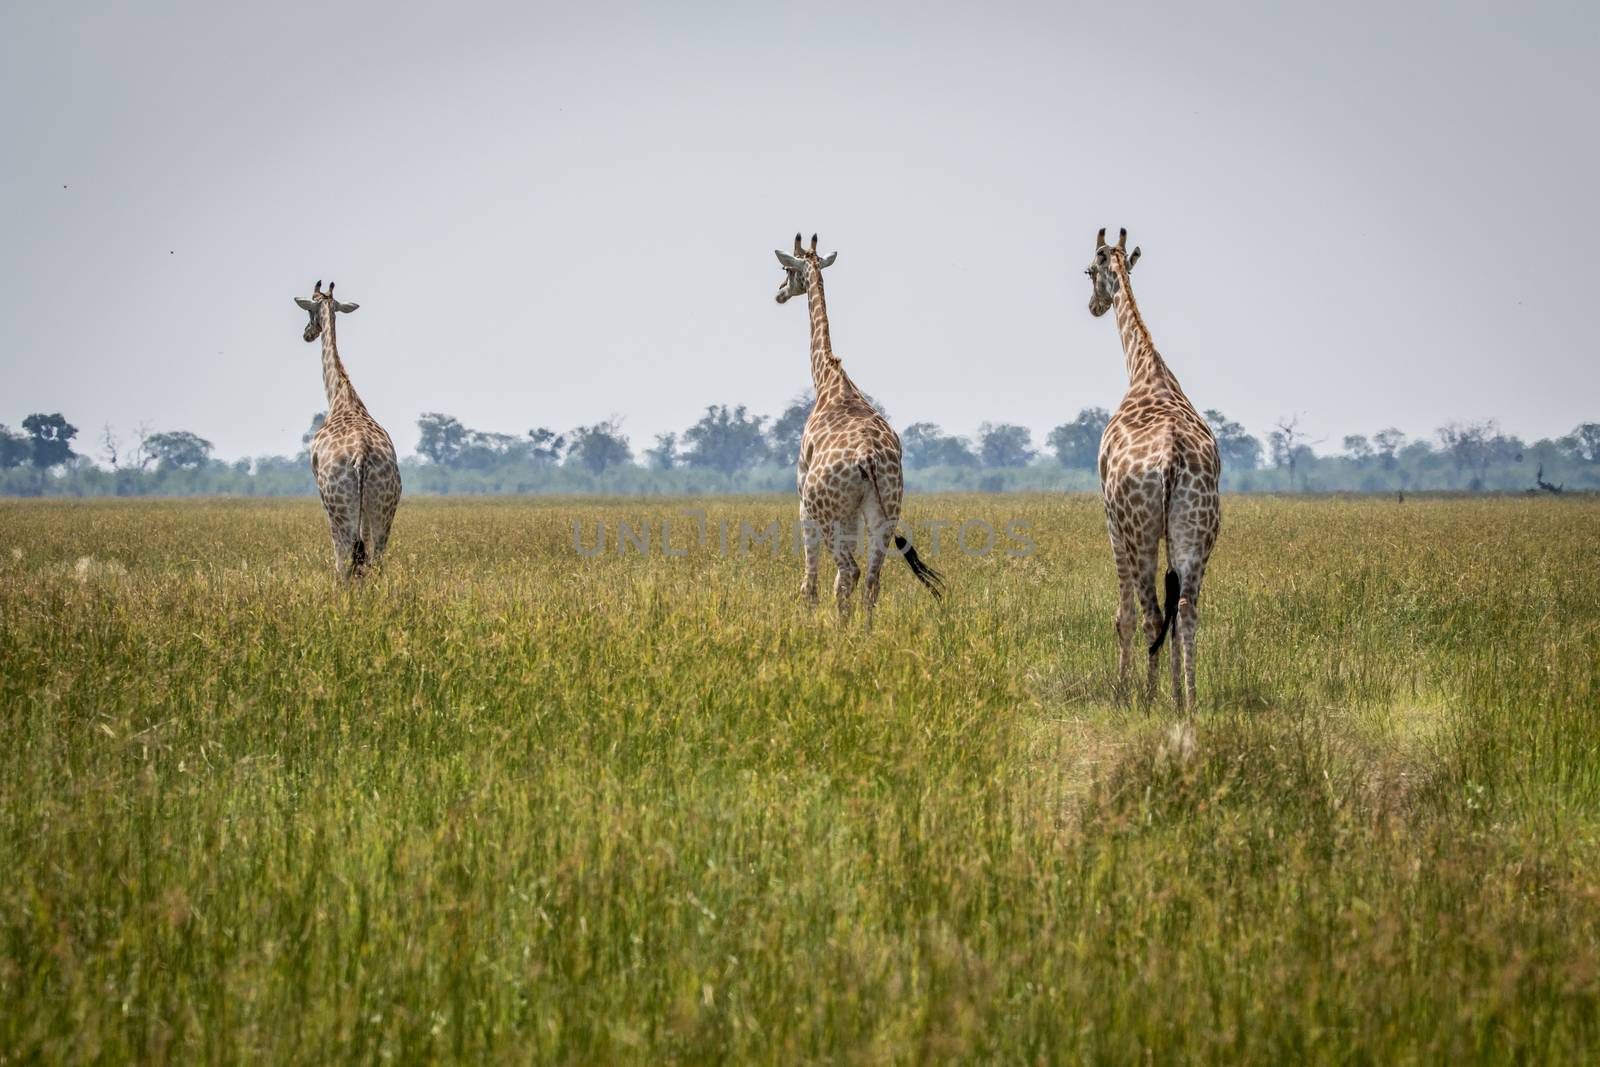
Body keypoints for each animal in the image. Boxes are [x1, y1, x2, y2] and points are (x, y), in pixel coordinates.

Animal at [297, 275, 403, 575]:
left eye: (309, 308)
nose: (307, 333)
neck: (341, 394)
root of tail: (361, 457)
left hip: (338, 506)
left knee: (343, 559)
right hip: (383, 508)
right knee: (374, 558)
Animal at [777, 230, 940, 620]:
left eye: (787, 270)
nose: (778, 292)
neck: (829, 381)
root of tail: (868, 459)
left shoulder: (802, 497)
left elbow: (810, 579)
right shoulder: (852, 511)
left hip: (827, 511)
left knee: (848, 571)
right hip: (885, 510)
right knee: (871, 576)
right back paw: (862, 629)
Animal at [1088, 228, 1222, 703]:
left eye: (1088, 271)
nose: (1093, 306)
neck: (1146, 371)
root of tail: (1170, 460)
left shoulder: (1110, 518)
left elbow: (1122, 615)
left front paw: (1122, 689)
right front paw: (1175, 691)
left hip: (1139, 527)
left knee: (1149, 613)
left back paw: (1146, 698)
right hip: (1197, 529)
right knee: (1186, 609)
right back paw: (1189, 700)